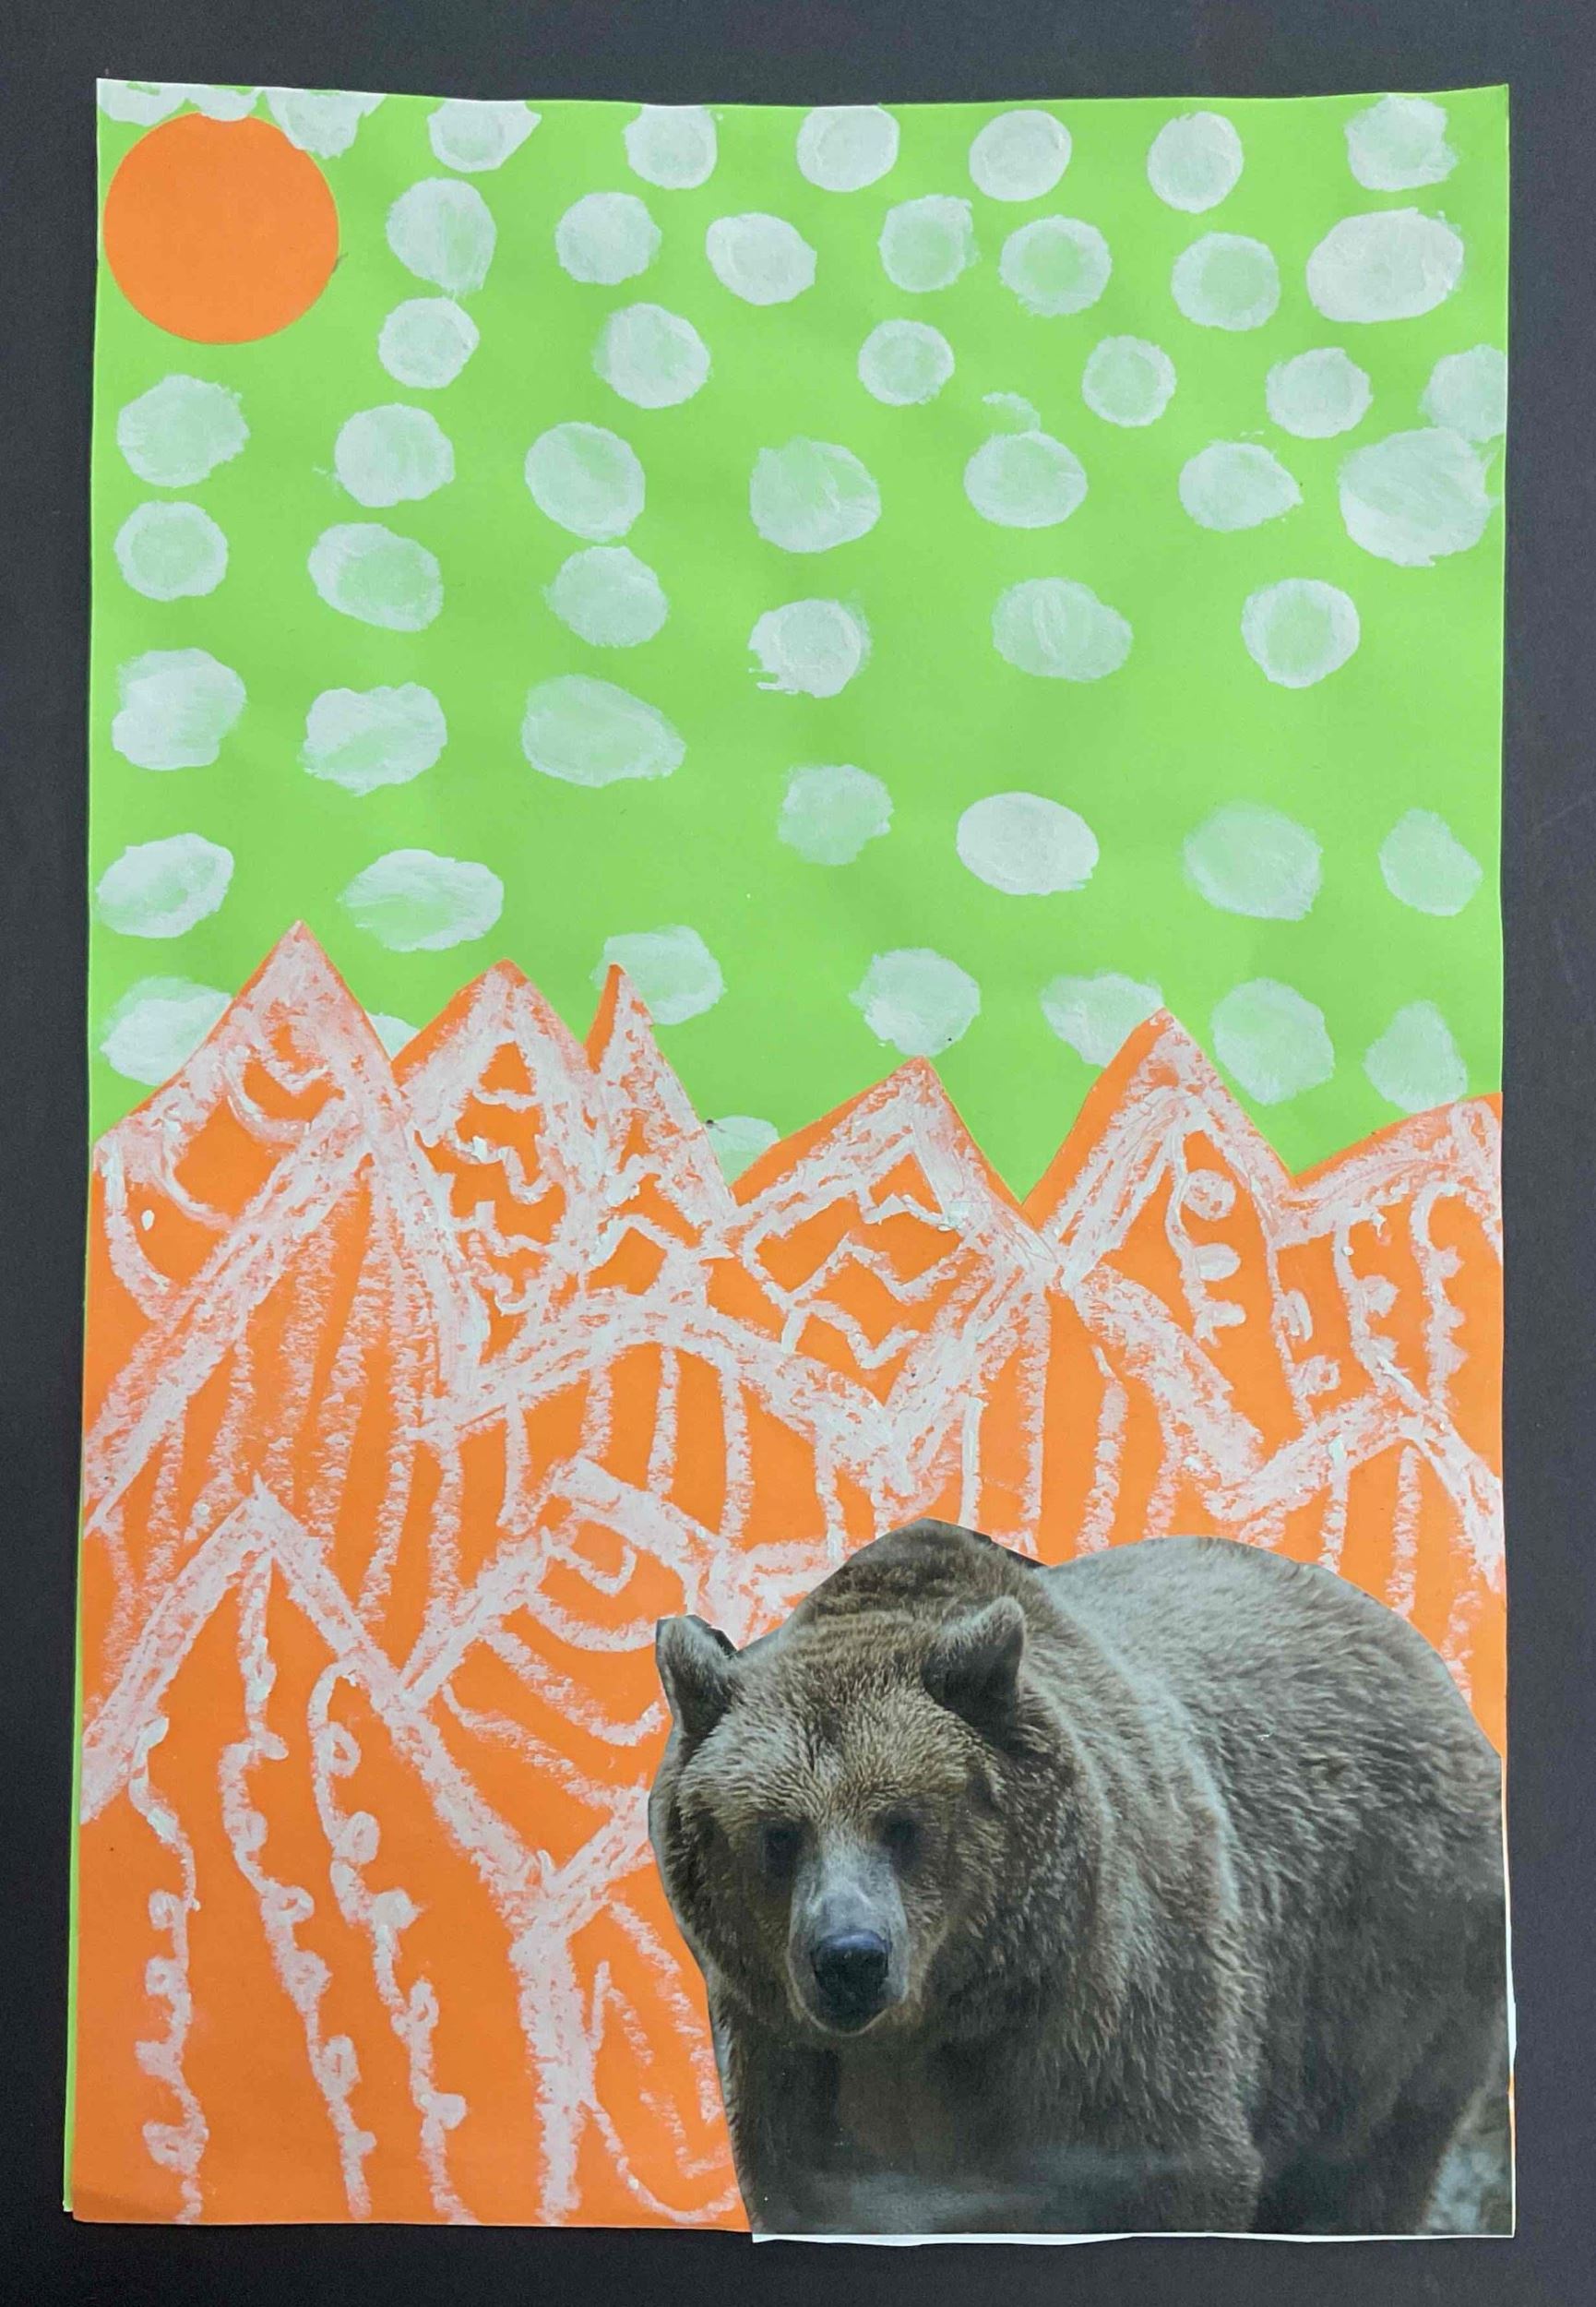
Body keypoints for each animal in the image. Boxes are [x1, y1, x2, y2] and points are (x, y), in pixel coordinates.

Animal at [647, 1520, 1507, 2236]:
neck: (944, 2024)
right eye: (779, 1834)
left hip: (1389, 1972)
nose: (850, 1959)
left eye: (904, 1823)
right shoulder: (791, 2072)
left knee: (1365, 2165)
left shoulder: (1108, 2030)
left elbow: (1174, 2171)